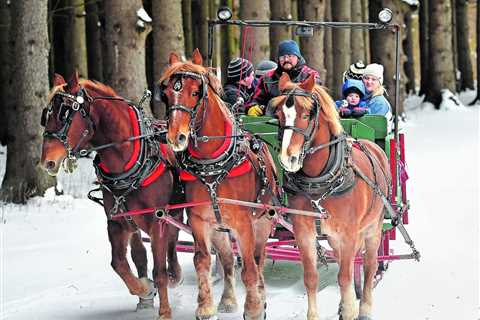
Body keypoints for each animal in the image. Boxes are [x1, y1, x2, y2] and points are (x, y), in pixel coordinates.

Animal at [39, 72, 184, 320]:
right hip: (134, 222)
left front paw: (164, 310)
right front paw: (144, 289)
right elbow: (119, 263)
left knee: (173, 243)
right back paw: (145, 297)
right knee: (140, 253)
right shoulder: (116, 222)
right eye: (45, 115)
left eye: (64, 113)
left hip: (174, 213)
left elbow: (160, 270)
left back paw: (176, 275)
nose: (47, 161)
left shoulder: (158, 221)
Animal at [158, 48, 278, 318]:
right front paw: (205, 306)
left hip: (262, 222)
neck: (212, 163)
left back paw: (261, 295)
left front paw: (254, 308)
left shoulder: (244, 223)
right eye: (167, 93)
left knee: (258, 259)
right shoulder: (199, 221)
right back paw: (228, 299)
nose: (176, 137)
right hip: (220, 228)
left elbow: (250, 268)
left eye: (195, 92)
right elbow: (202, 261)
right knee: (227, 259)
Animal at [270, 73, 390, 320]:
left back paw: (364, 307)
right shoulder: (304, 233)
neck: (320, 181)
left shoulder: (349, 234)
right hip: (336, 237)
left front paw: (351, 310)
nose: (288, 158)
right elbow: (311, 278)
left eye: (306, 115)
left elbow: (344, 277)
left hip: (373, 228)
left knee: (370, 265)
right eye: (278, 115)